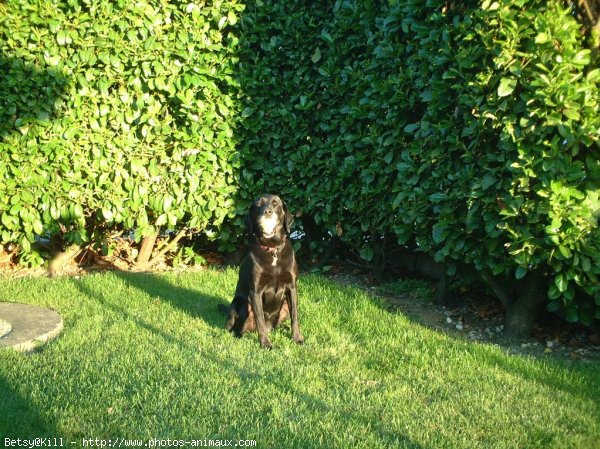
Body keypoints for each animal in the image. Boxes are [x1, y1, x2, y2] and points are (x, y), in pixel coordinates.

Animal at [221, 192, 302, 346]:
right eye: (259, 204)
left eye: (276, 203)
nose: (267, 212)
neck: (272, 249)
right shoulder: (256, 291)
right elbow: (260, 321)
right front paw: (265, 344)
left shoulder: (292, 287)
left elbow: (295, 316)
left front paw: (297, 338)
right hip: (241, 303)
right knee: (235, 328)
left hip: (284, 307)